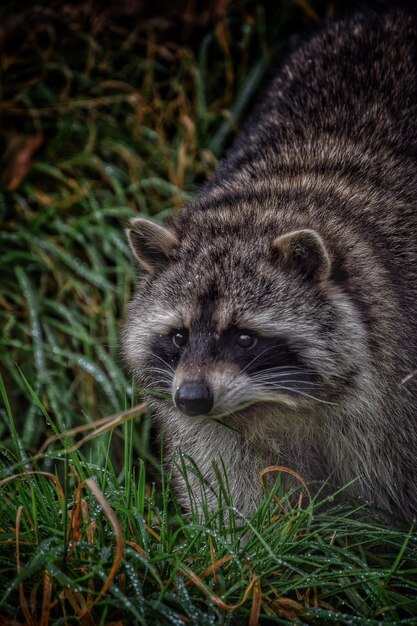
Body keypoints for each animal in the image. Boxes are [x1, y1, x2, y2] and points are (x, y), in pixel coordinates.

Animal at [122, 6, 416, 516]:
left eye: (244, 338)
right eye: (178, 336)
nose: (192, 398)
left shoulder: (390, 400)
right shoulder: (211, 432)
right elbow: (228, 494)